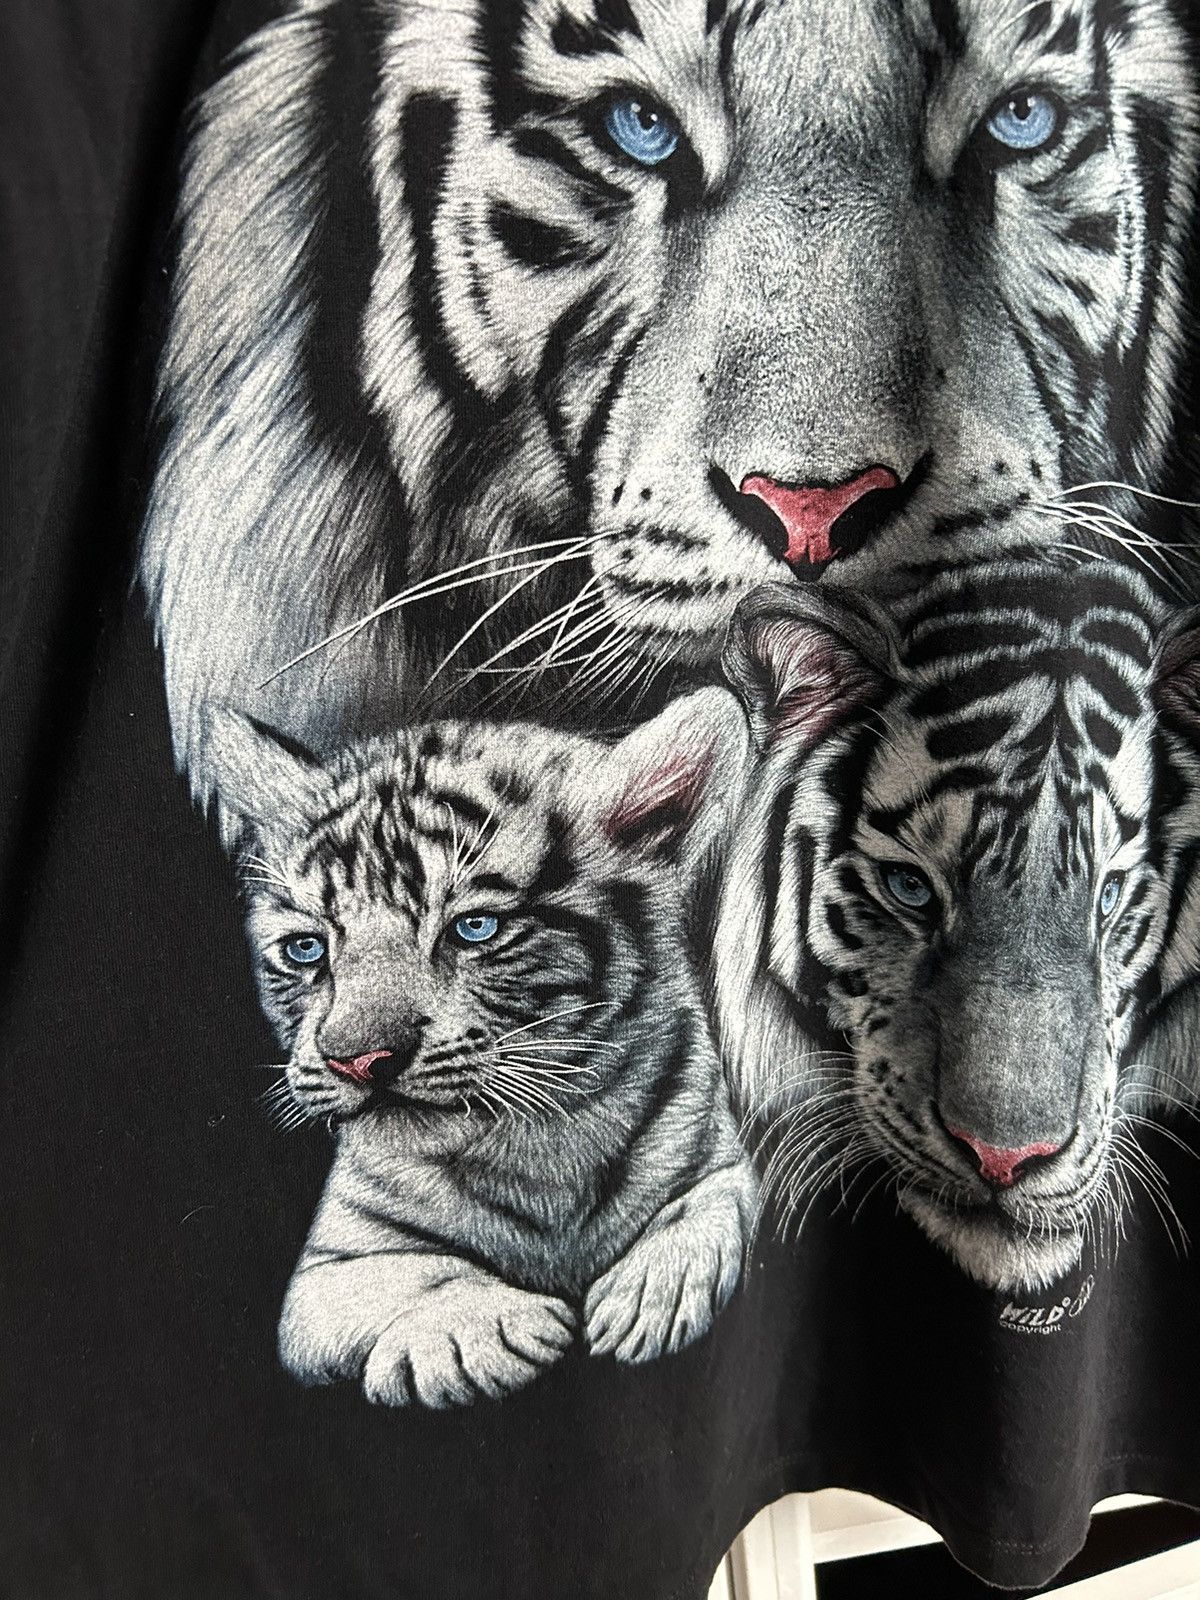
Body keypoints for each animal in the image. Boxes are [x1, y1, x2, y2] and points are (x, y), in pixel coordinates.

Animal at [208, 690, 758, 1406]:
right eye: (306, 948)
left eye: (475, 928)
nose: (357, 1059)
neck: (540, 1149)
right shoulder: (332, 1267)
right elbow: (402, 1279)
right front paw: (484, 1332)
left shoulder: (718, 1158)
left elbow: (710, 1203)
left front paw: (648, 1299)